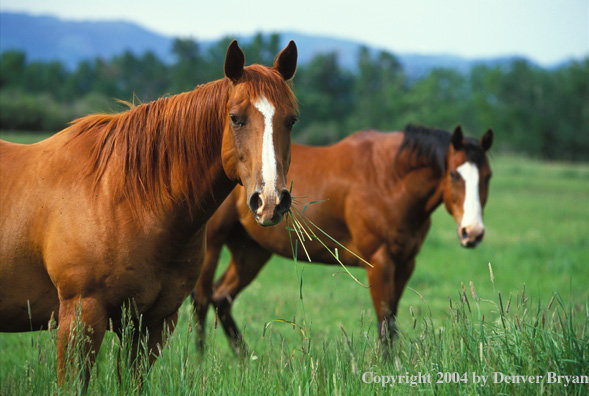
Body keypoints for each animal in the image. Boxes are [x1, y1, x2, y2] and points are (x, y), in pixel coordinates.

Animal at [0, 40, 298, 384]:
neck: (124, 198)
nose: (270, 200)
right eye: (236, 118)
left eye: (291, 120)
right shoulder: (80, 317)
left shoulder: (153, 322)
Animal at [192, 124, 492, 350]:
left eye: (488, 176)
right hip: (213, 245)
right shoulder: (379, 263)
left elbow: (392, 322)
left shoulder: (405, 264)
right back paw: (198, 363)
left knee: (221, 298)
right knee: (201, 299)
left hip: (252, 251)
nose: (473, 233)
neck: (389, 179)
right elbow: (385, 325)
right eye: (453, 174)